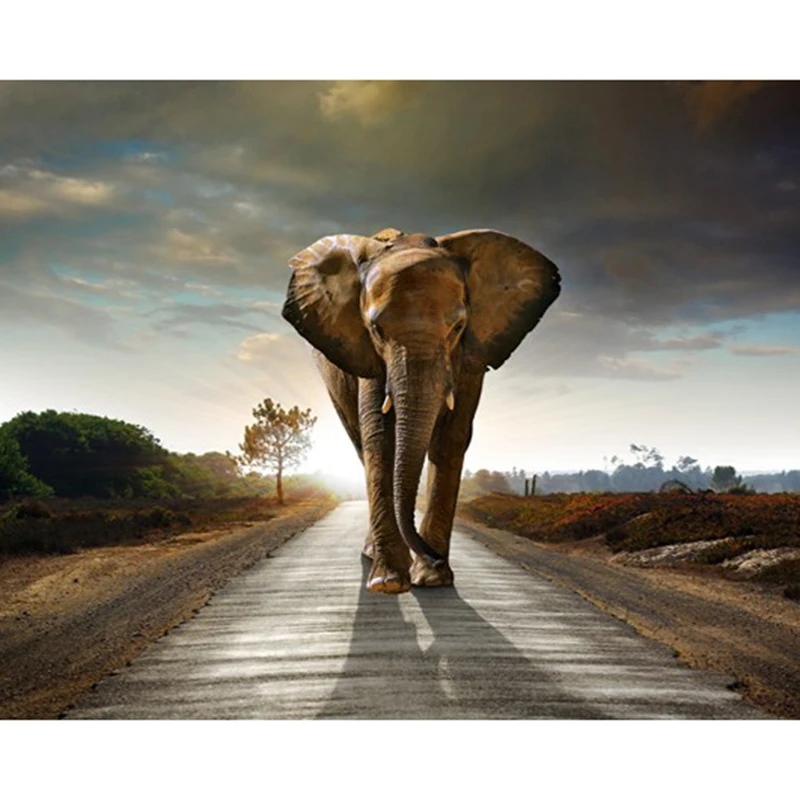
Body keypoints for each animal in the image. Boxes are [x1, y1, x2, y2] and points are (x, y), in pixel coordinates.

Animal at [282, 227, 560, 594]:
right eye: (376, 330)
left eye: (458, 327)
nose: (433, 556)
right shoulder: (367, 356)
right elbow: (380, 437)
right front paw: (389, 583)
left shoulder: (471, 355)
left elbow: (451, 438)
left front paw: (432, 579)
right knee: (361, 444)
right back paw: (373, 556)